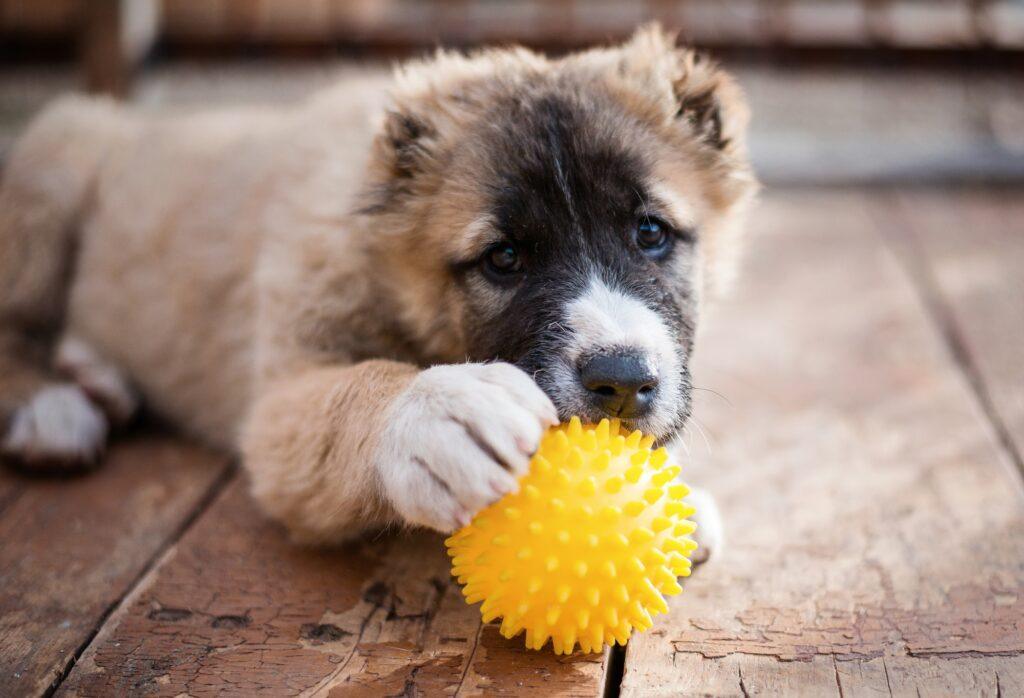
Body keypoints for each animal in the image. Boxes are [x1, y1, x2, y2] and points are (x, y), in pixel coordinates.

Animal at [0, 25, 753, 548]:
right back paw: (55, 408)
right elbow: (353, 391)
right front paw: (438, 412)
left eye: (650, 232)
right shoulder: (278, 403)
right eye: (504, 258)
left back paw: (96, 374)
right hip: (53, 166)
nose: (621, 381)